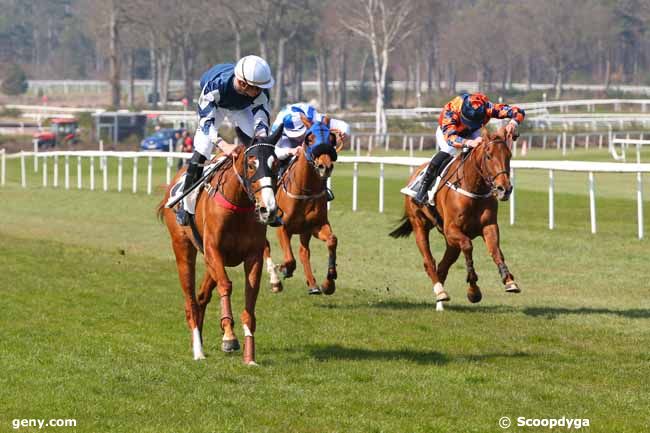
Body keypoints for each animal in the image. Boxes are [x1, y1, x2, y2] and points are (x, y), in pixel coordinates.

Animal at [158, 126, 282, 362]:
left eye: (277, 164)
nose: (268, 209)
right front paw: (229, 337)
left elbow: (250, 299)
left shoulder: (252, 256)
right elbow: (226, 285)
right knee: (191, 301)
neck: (238, 206)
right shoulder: (214, 250)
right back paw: (198, 350)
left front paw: (249, 355)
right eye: (251, 164)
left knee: (201, 297)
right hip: (183, 248)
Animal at [264, 116, 344, 296]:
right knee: (265, 246)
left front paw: (329, 282)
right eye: (310, 139)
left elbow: (332, 240)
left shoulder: (316, 225)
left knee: (303, 252)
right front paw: (284, 269)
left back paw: (313, 284)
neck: (305, 190)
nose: (325, 166)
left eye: (331, 139)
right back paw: (275, 279)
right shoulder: (282, 227)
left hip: (304, 231)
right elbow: (289, 259)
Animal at [388, 126, 520, 308]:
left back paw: (440, 300)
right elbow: (468, 246)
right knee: (429, 261)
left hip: (450, 242)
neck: (473, 189)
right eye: (488, 156)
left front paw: (509, 281)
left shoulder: (489, 226)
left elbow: (495, 251)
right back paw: (440, 291)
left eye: (509, 155)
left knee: (443, 265)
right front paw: (473, 290)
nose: (504, 189)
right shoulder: (452, 229)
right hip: (420, 224)